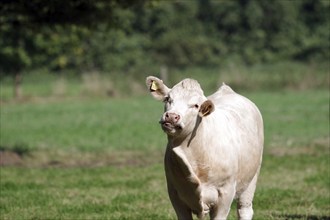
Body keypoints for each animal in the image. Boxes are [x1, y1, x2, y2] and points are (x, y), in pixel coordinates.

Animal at [146, 76, 264, 220]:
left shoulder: (226, 193)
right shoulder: (175, 193)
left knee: (244, 209)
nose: (172, 116)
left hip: (252, 177)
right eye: (168, 99)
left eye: (196, 105)